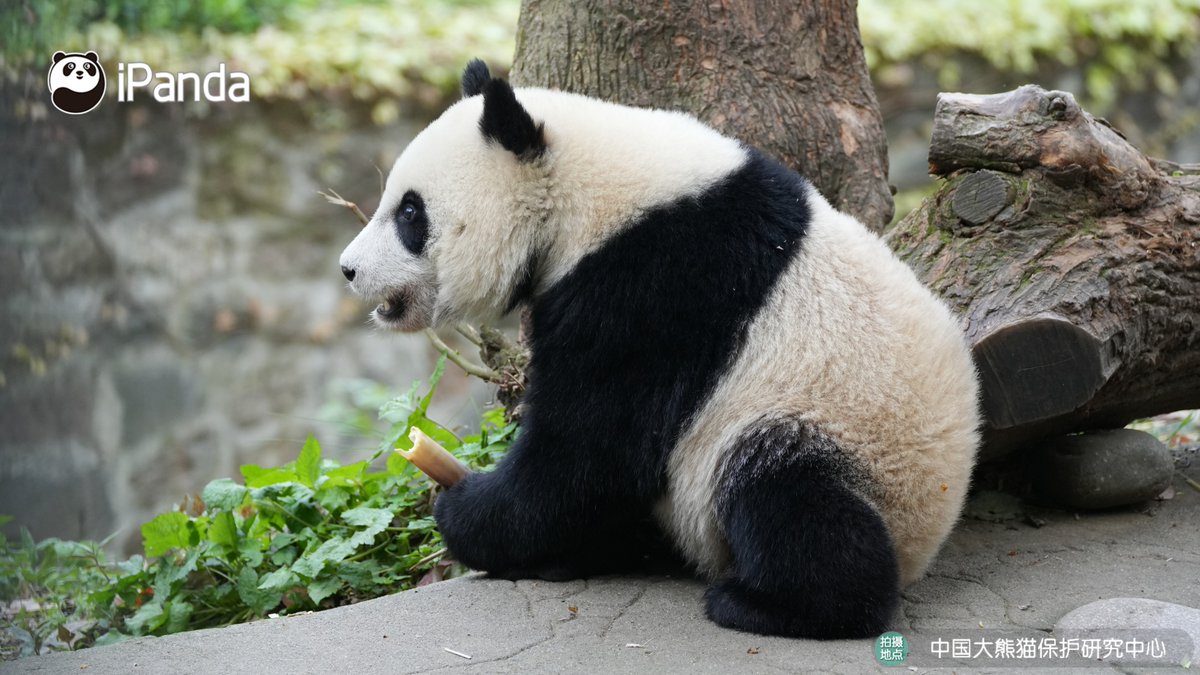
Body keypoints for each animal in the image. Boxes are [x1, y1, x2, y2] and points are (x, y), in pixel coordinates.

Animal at [339, 60, 980, 639]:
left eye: (411, 212)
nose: (348, 269)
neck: (589, 189)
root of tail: (929, 537)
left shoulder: (660, 282)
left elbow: (592, 450)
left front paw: (462, 513)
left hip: (846, 437)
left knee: (785, 491)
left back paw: (771, 605)